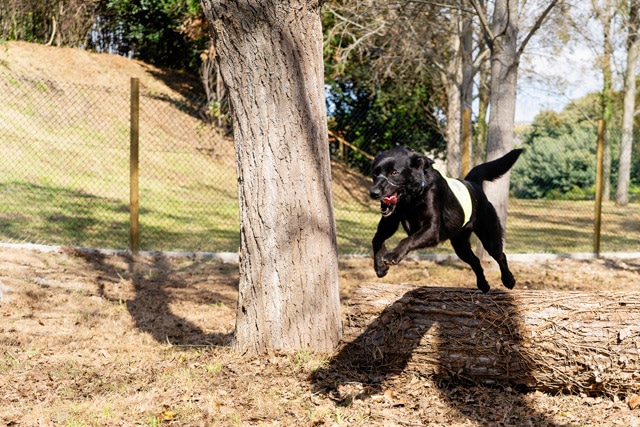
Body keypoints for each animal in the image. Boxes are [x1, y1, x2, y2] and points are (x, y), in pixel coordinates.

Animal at [372, 145, 524, 292]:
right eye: (375, 173)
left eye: (394, 172)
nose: (373, 193)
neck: (410, 199)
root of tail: (472, 183)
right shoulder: (389, 223)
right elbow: (376, 239)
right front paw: (380, 267)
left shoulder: (431, 229)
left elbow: (407, 240)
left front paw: (392, 256)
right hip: (460, 245)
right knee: (475, 261)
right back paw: (483, 285)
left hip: (490, 238)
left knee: (501, 256)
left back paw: (508, 280)